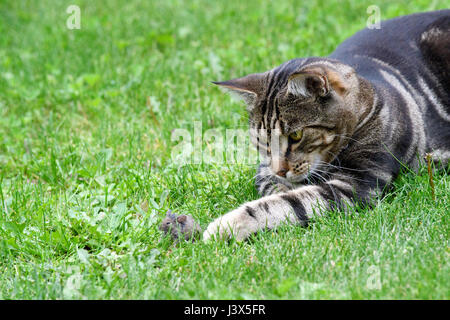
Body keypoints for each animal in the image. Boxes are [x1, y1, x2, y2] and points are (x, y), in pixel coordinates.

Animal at [203, 9, 450, 240]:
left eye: (296, 136)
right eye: (262, 141)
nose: (281, 170)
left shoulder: (358, 183)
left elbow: (285, 203)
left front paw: (226, 226)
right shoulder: (265, 169)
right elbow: (274, 189)